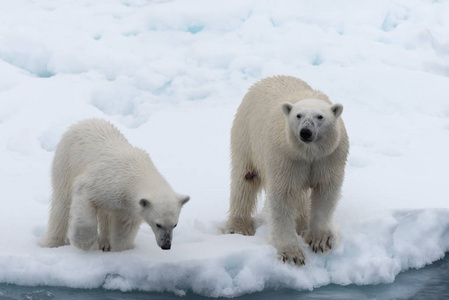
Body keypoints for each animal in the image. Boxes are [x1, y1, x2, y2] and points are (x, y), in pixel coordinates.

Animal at [42, 118, 189, 252]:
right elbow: (84, 197)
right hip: (66, 162)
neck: (135, 172)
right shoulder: (106, 182)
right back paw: (53, 243)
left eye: (175, 225)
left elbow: (124, 228)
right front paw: (82, 242)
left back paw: (105, 243)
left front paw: (120, 249)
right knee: (62, 204)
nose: (166, 245)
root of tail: (83, 122)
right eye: (158, 224)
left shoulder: (128, 207)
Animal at [226, 76, 348, 266]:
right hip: (246, 134)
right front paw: (292, 254)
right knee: (244, 179)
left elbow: (325, 191)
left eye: (320, 116)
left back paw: (302, 225)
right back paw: (239, 227)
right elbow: (283, 196)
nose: (305, 132)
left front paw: (320, 240)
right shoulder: (285, 157)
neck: (308, 153)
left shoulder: (328, 157)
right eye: (298, 115)